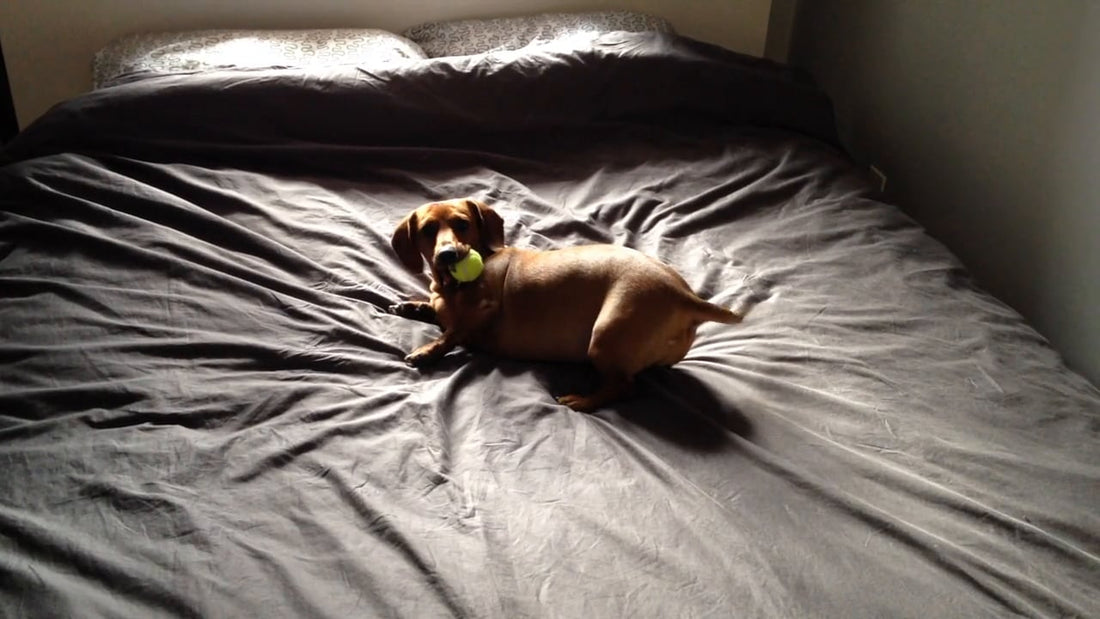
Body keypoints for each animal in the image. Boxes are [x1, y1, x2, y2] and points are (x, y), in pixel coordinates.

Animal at [387, 199, 739, 411]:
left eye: (462, 224)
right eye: (427, 230)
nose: (448, 254)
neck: (451, 287)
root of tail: (684, 295)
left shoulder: (482, 312)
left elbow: (453, 332)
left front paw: (427, 351)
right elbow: (438, 314)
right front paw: (412, 307)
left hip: (605, 335)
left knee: (624, 387)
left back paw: (581, 400)